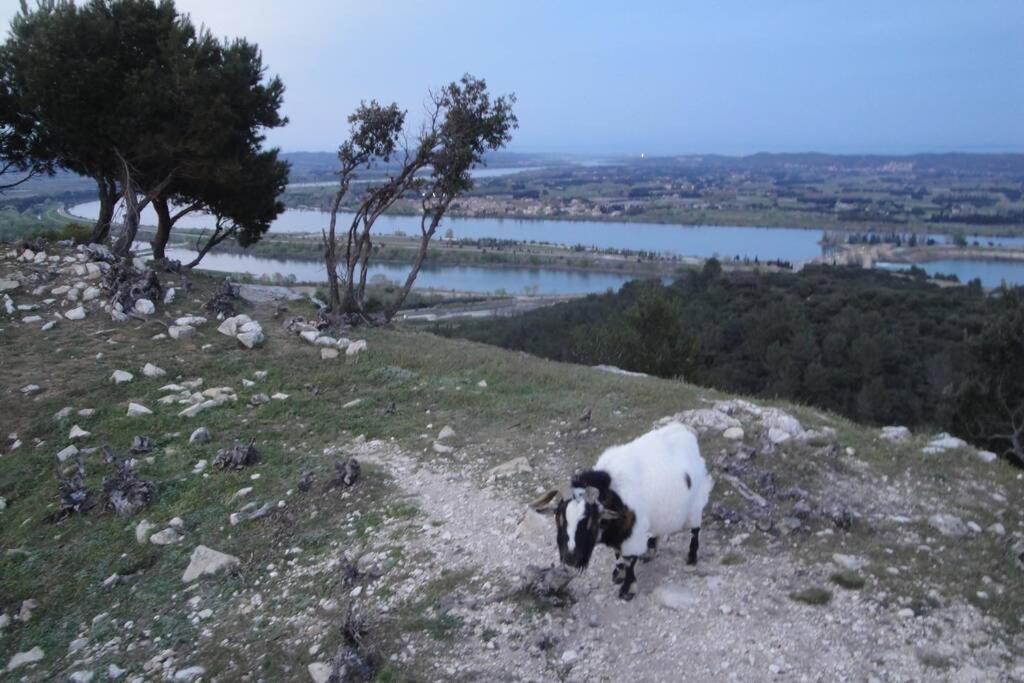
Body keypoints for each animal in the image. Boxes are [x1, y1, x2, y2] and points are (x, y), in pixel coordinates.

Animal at [528, 421, 712, 598]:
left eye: (589, 520)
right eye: (559, 518)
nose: (570, 558)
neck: (613, 493)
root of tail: (685, 431)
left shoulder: (632, 533)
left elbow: (629, 560)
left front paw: (628, 589)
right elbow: (618, 555)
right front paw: (618, 575)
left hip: (696, 502)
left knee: (695, 530)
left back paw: (691, 558)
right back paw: (651, 550)